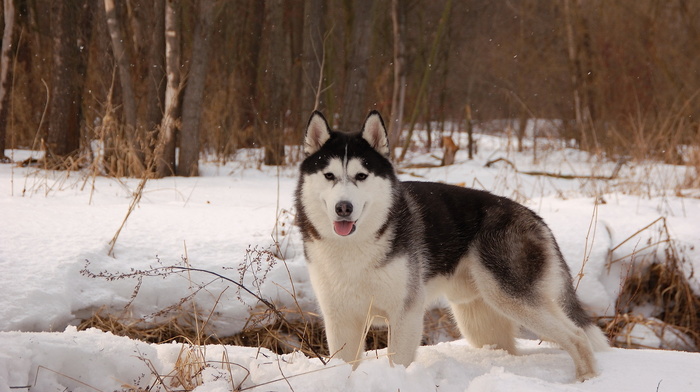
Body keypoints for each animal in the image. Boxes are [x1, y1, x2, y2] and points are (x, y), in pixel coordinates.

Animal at [296, 109, 608, 380]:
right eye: (329, 175)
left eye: (361, 175)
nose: (343, 208)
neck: (354, 247)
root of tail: (534, 217)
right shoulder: (340, 318)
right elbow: (344, 363)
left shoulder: (406, 313)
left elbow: (398, 361)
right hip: (479, 321)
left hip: (512, 298)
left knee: (577, 336)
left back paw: (586, 379)